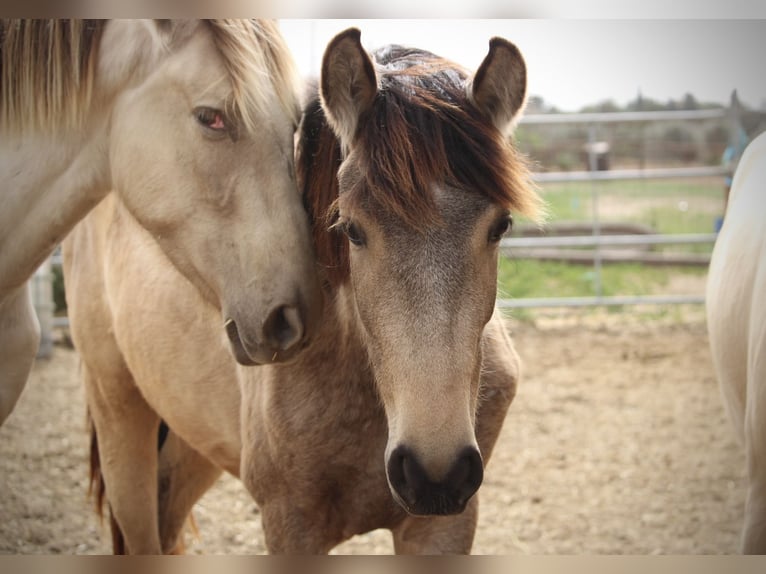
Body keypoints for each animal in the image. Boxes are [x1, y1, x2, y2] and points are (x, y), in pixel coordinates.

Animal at [64, 28, 542, 553]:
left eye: (500, 226)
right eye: (351, 229)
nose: (433, 472)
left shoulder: (442, 526)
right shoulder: (290, 525)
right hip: (120, 416)